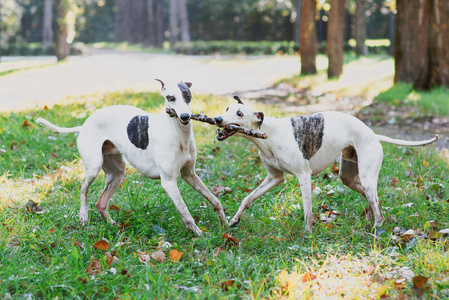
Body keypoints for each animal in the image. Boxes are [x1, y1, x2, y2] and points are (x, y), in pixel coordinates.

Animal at [37, 80, 228, 237]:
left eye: (187, 96)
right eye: (171, 98)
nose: (185, 117)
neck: (177, 134)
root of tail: (84, 124)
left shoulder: (190, 175)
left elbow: (215, 200)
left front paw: (225, 223)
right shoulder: (169, 183)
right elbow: (186, 212)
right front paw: (198, 233)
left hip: (117, 172)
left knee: (101, 203)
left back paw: (113, 225)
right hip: (94, 167)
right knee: (83, 188)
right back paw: (83, 215)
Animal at [214, 97, 438, 231]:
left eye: (240, 114)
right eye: (227, 108)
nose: (216, 118)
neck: (267, 133)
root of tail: (373, 135)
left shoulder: (304, 176)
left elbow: (308, 211)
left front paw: (307, 233)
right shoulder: (274, 178)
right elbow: (248, 198)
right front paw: (234, 219)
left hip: (366, 177)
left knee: (375, 204)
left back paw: (377, 227)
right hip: (348, 176)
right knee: (372, 200)